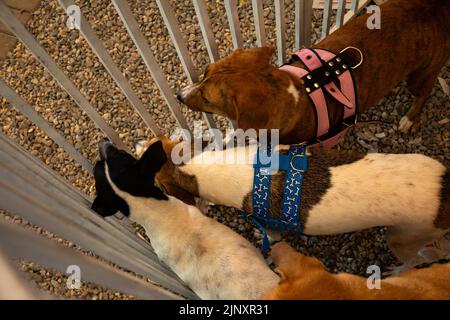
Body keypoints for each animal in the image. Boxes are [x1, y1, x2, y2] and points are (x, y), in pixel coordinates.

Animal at [176, 0, 450, 142]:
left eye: (206, 98)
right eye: (205, 71)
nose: (179, 95)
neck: (298, 90)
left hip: (420, 75)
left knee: (424, 92)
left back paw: (409, 119)